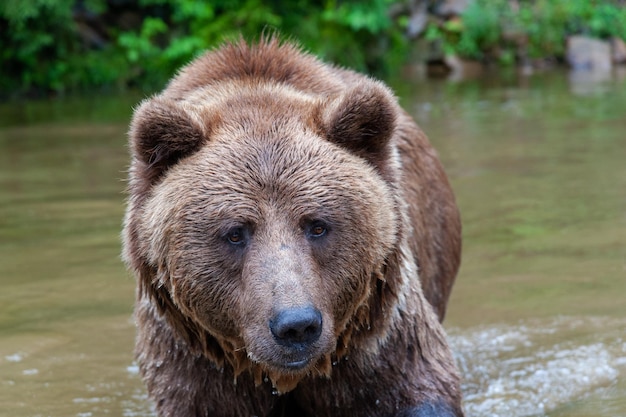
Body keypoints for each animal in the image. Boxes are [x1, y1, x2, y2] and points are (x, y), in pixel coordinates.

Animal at [123, 36, 464, 416]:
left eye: (317, 225)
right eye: (235, 232)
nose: (296, 326)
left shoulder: (378, 333)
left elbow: (419, 386)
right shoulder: (191, 357)